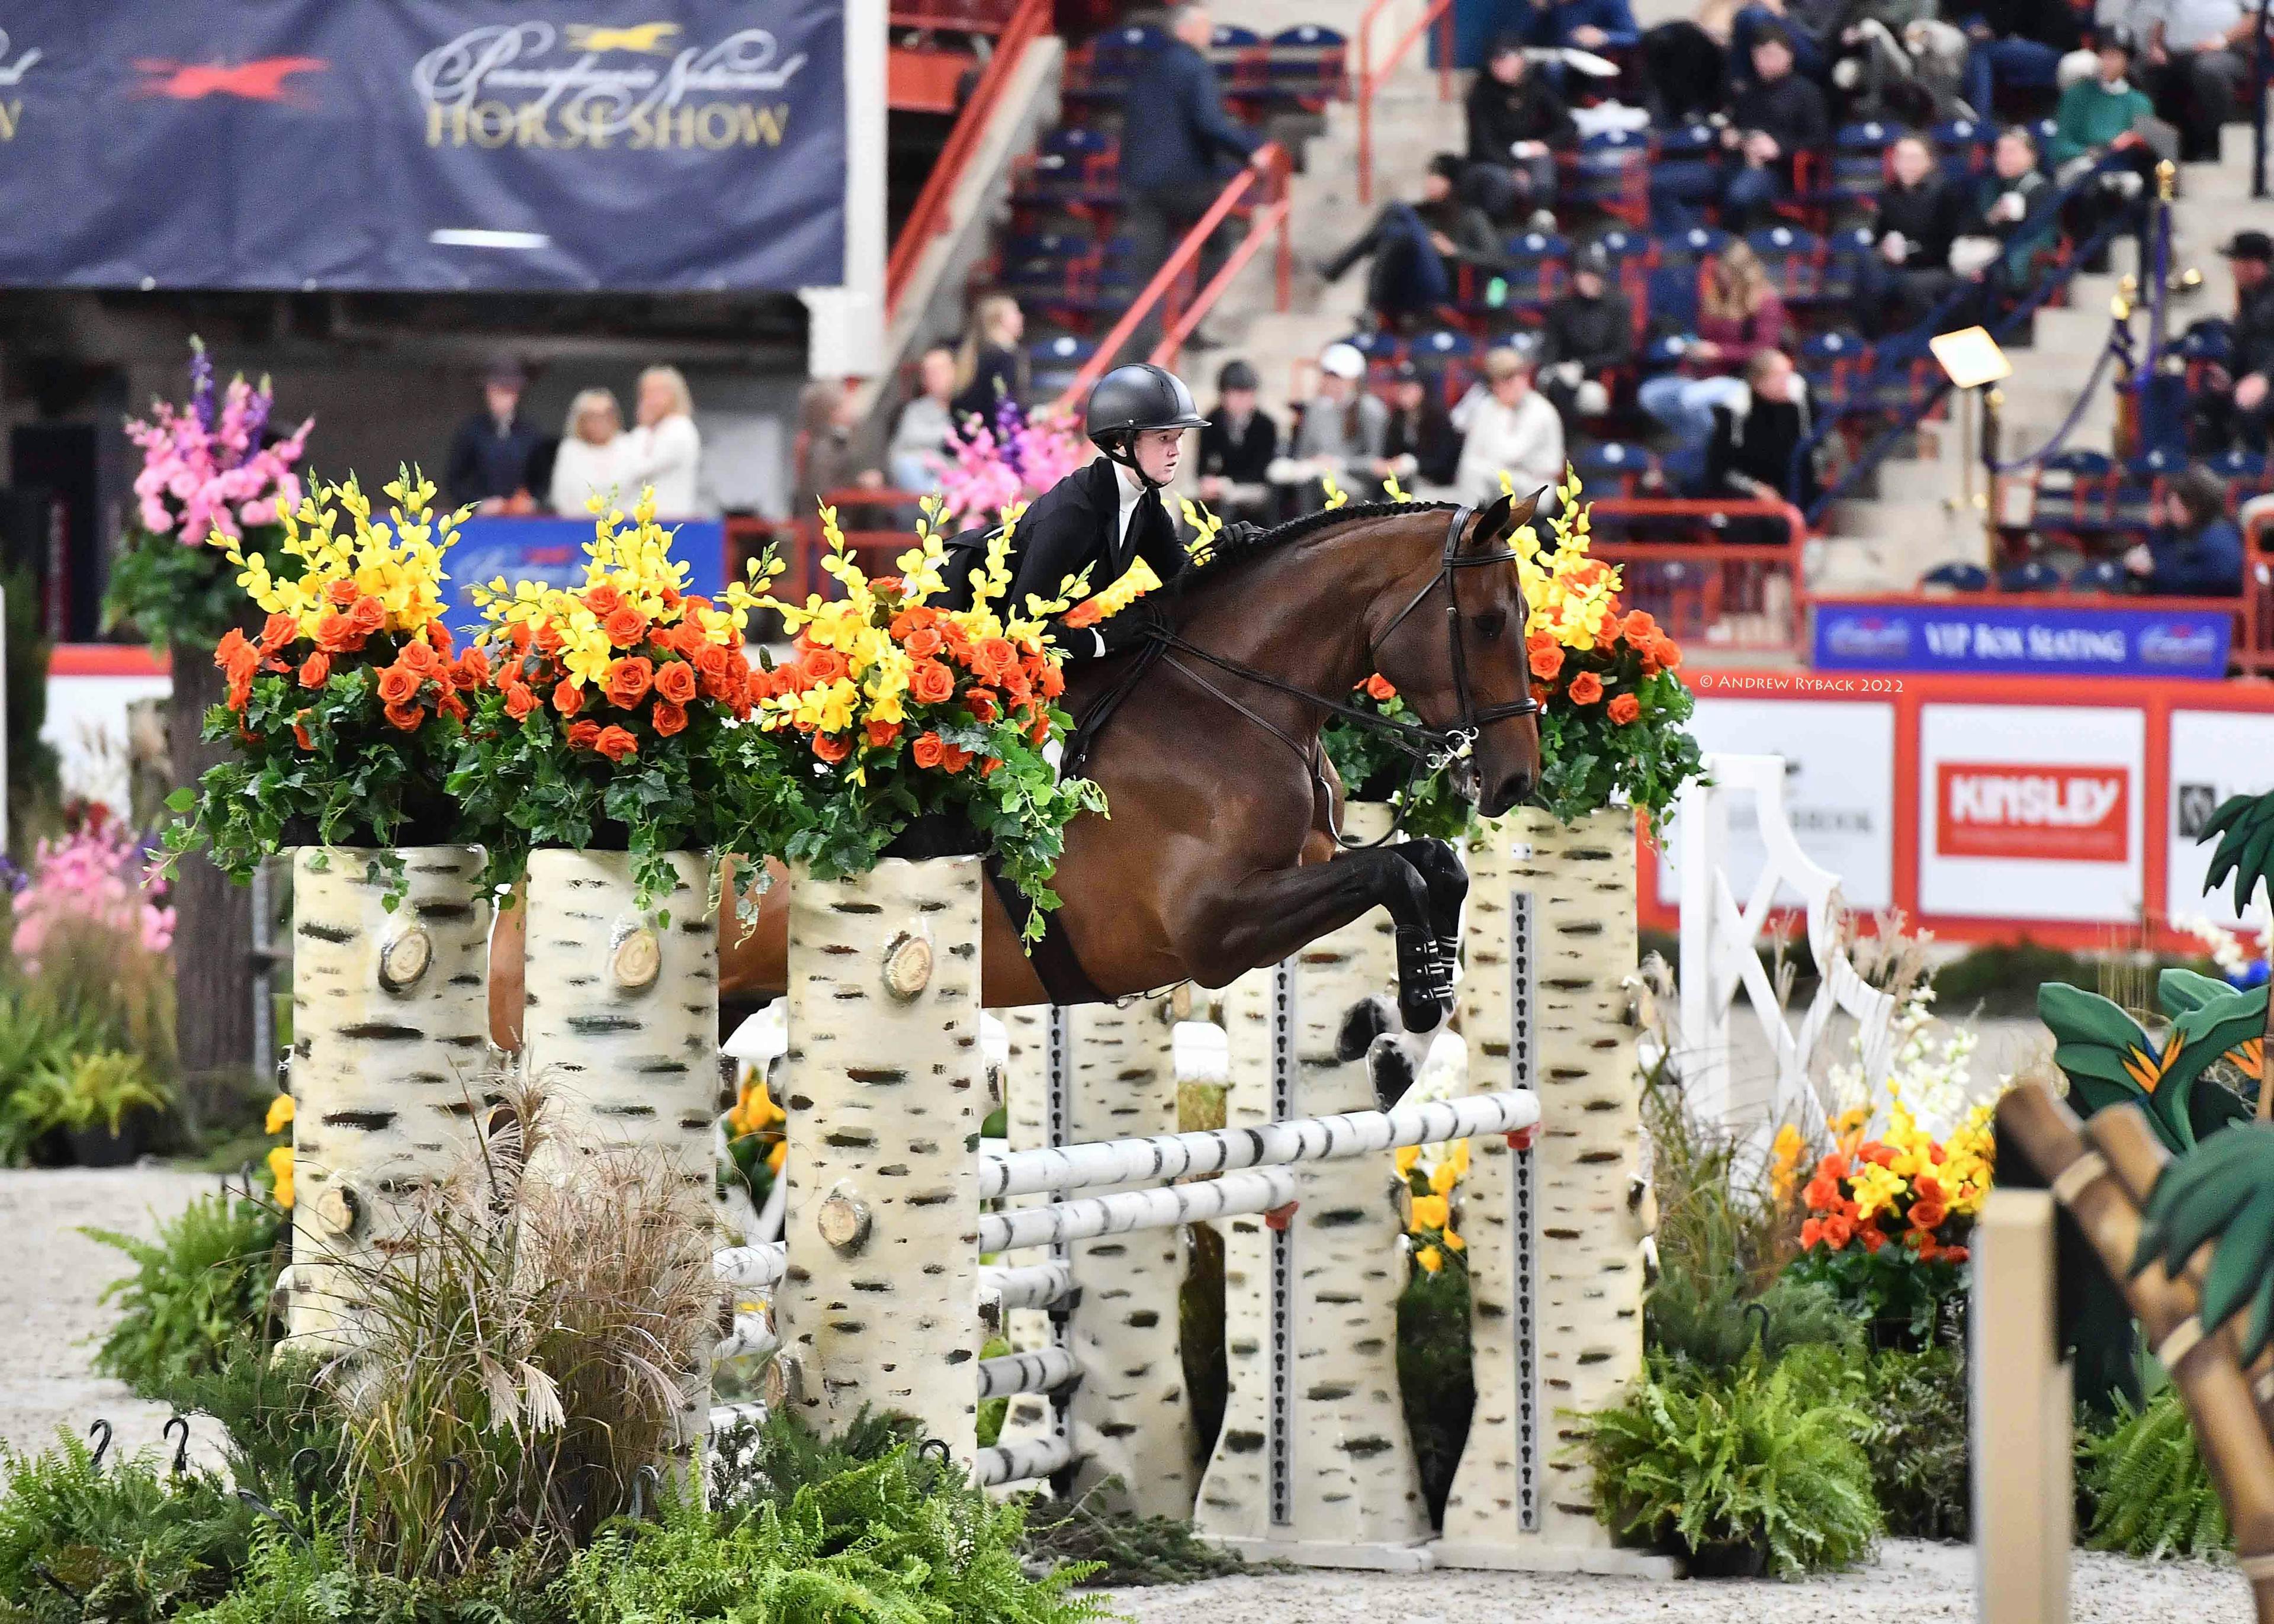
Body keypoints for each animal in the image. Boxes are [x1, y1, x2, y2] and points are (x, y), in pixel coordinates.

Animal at [486, 493, 1537, 1041]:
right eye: (1488, 622)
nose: (1515, 780)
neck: (1232, 701)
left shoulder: (1309, 861)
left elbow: (1430, 863)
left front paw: (1431, 979)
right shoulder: (1213, 928)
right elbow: (1397, 867)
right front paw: (1424, 995)